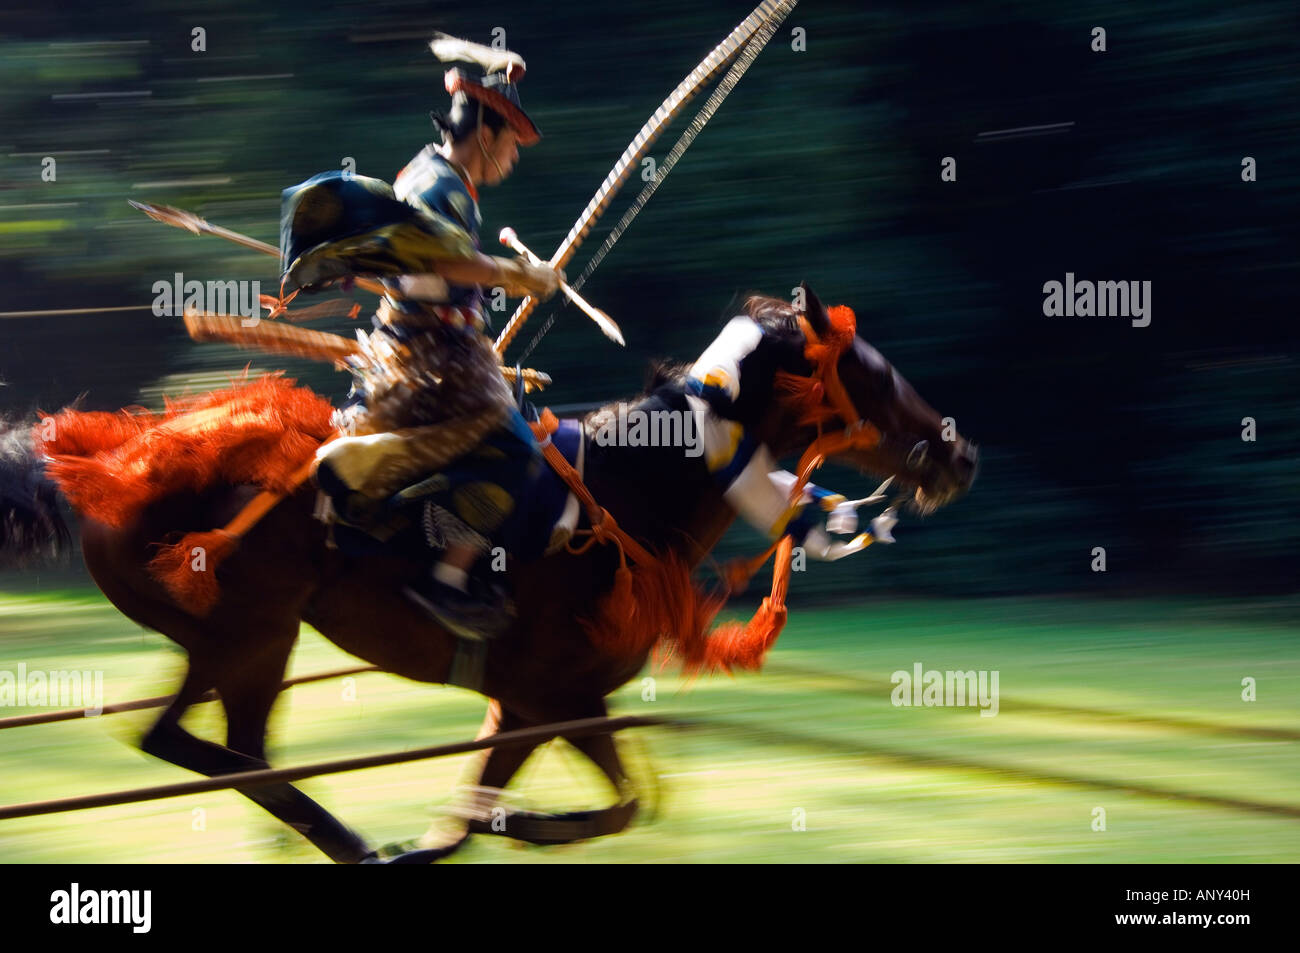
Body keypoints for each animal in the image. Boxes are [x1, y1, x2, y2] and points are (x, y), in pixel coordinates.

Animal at [0, 284, 977, 863]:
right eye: (870, 372)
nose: (957, 453)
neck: (632, 495)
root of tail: (109, 461)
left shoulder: (545, 705)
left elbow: (596, 802)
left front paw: (494, 826)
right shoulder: (549, 699)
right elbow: (584, 804)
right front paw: (524, 826)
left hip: (224, 640)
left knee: (202, 747)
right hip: (253, 635)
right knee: (214, 749)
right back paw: (345, 836)